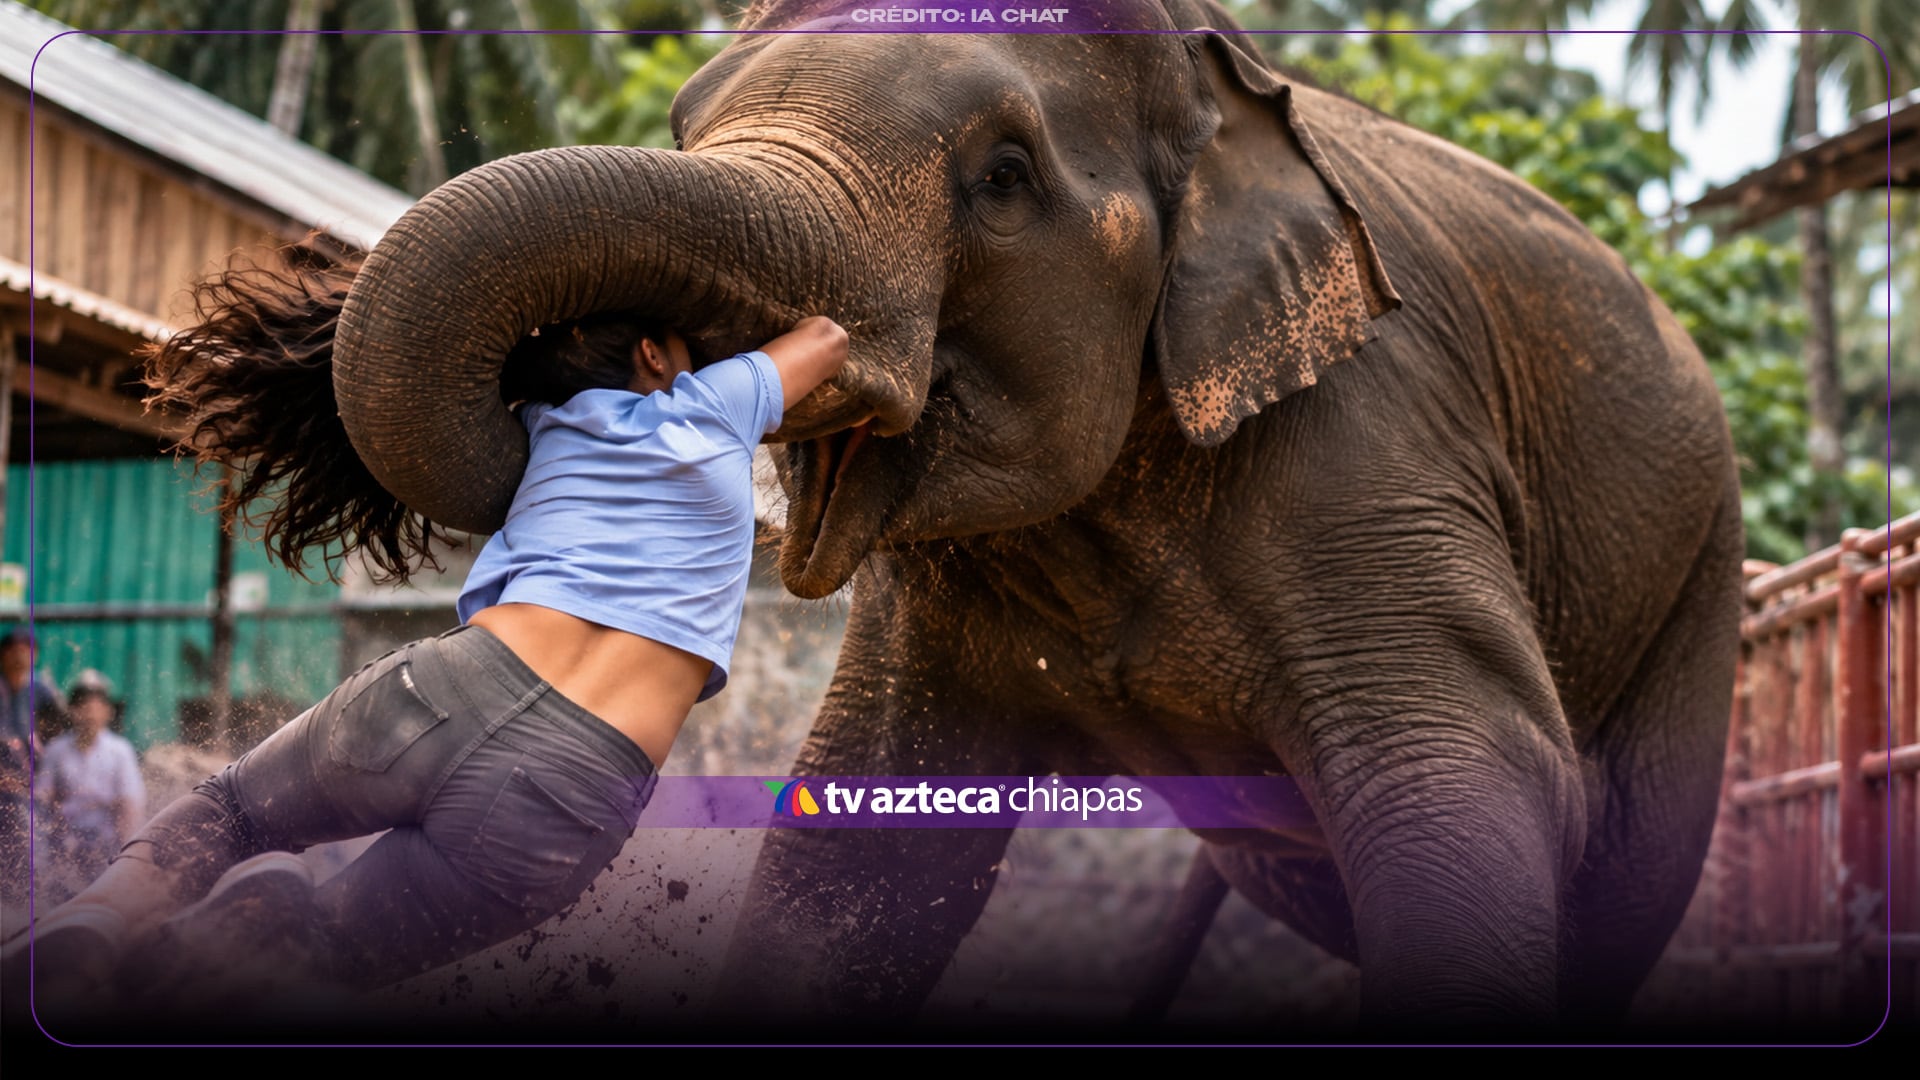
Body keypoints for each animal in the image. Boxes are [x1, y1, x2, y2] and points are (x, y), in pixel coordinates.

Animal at [206, 0, 1740, 1032]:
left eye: (1002, 177)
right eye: (689, 128)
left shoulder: (1375, 436)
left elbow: (1461, 779)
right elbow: (864, 853)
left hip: (1694, 595)